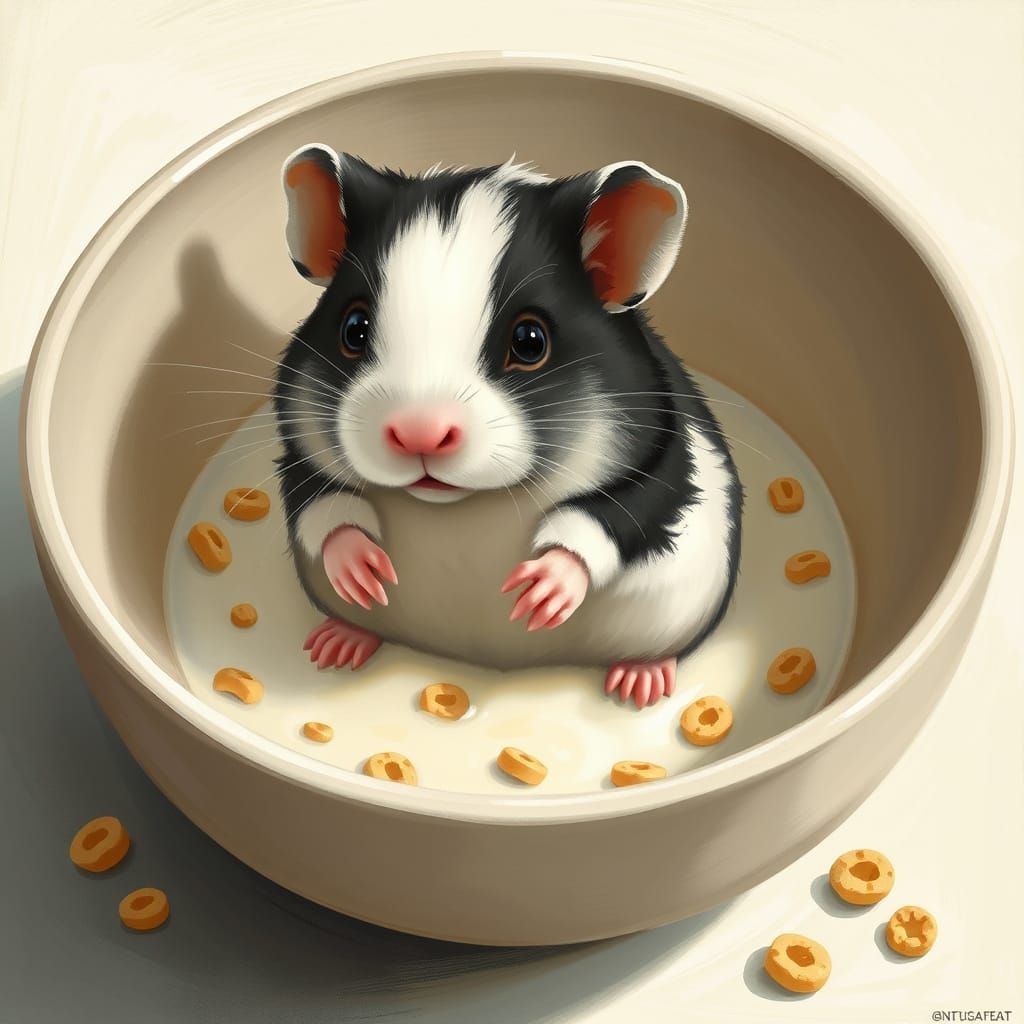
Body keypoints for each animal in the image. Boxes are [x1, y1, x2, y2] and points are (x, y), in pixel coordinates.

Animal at [273, 144, 742, 709]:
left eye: (529, 341)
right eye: (353, 328)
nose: (419, 436)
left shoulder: (660, 458)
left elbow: (614, 512)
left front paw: (541, 591)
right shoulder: (295, 448)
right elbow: (320, 499)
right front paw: (360, 570)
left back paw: (640, 684)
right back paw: (338, 642)